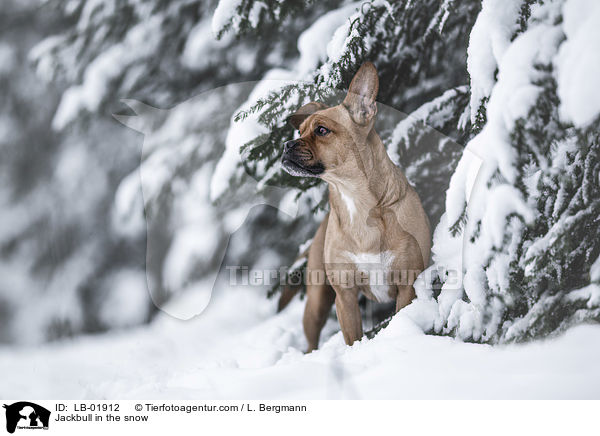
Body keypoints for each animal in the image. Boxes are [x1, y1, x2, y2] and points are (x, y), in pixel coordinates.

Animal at [282, 63, 432, 352]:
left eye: (321, 130)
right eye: (299, 132)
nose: (286, 145)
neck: (353, 198)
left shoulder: (407, 285)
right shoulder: (346, 296)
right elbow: (353, 338)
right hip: (317, 302)